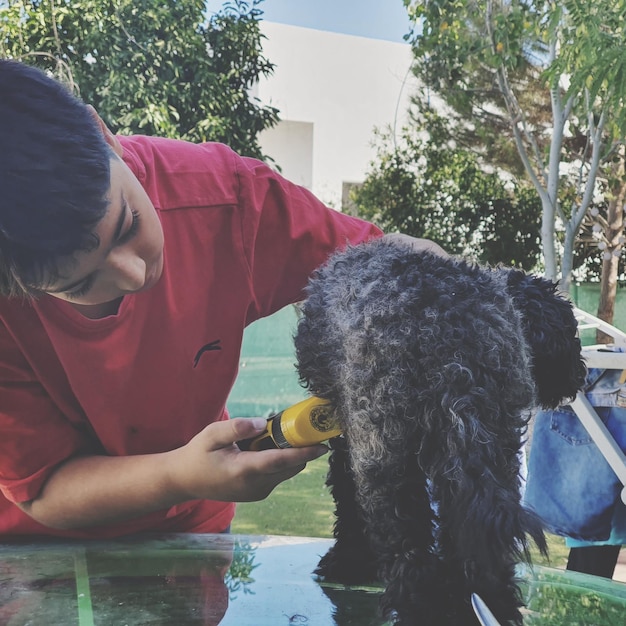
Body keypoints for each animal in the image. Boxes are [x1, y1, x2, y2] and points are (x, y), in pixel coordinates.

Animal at [294, 236, 584, 620]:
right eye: (568, 328)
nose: (579, 374)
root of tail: (451, 334)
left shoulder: (346, 436)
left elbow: (345, 497)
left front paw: (345, 563)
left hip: (386, 456)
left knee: (408, 546)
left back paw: (419, 606)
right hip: (493, 453)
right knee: (477, 544)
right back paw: (490, 604)